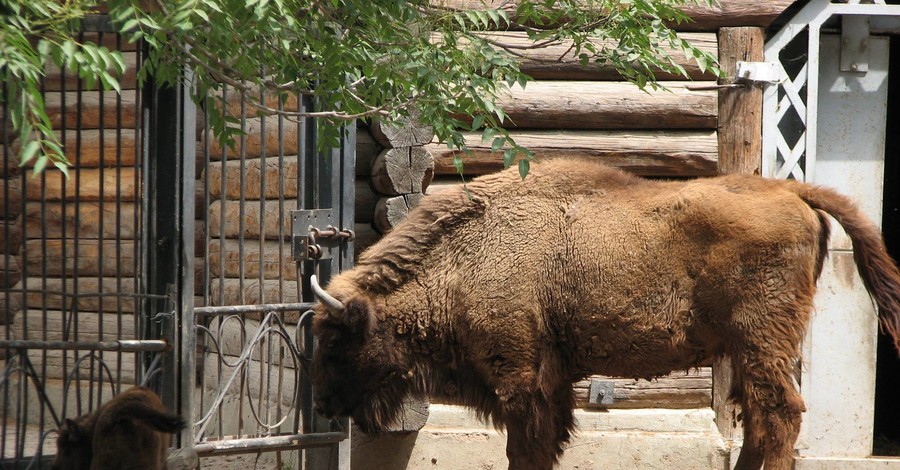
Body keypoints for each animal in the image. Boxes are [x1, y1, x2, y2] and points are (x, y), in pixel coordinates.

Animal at [308, 159, 900, 470]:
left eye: (337, 343)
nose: (323, 404)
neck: (466, 255)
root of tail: (793, 191)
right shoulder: (551, 381)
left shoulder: (520, 377)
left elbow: (527, 447)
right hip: (749, 348)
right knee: (759, 414)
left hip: (762, 338)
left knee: (779, 413)